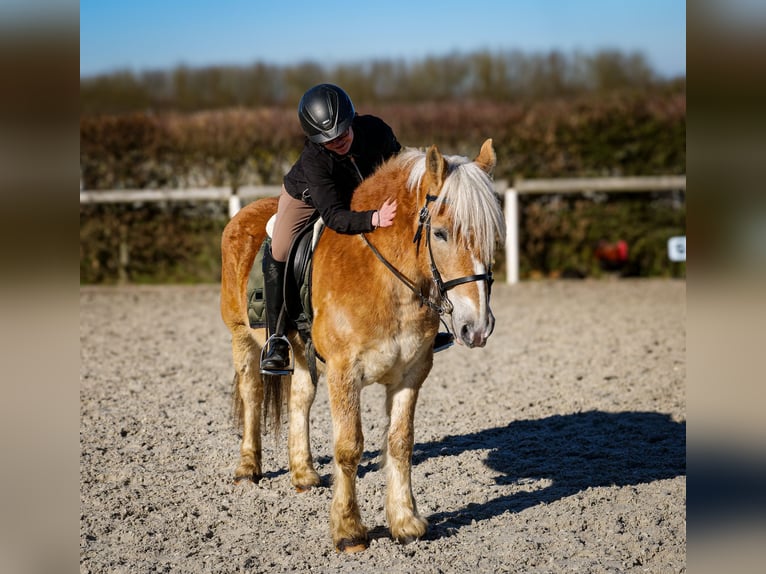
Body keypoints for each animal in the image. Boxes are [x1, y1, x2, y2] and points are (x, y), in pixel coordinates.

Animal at [220, 138, 510, 552]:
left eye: (492, 236)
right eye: (440, 233)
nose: (478, 327)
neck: (383, 280)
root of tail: (243, 214)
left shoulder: (411, 373)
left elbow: (400, 443)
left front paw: (405, 522)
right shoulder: (344, 372)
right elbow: (349, 447)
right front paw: (349, 530)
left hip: (303, 354)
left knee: (300, 399)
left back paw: (304, 473)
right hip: (241, 338)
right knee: (252, 395)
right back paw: (248, 468)